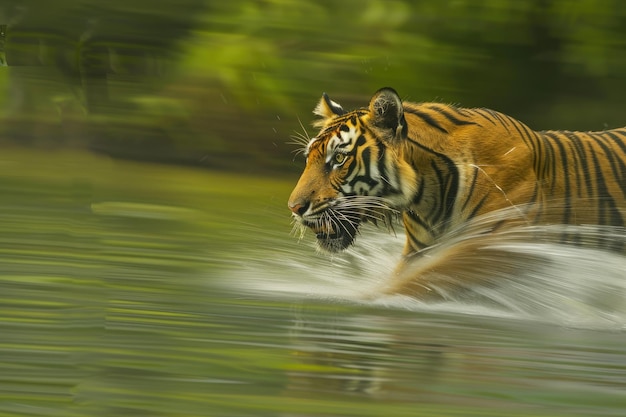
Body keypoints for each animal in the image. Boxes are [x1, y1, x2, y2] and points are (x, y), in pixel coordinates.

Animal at [288, 87, 624, 296]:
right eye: (309, 158)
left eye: (339, 159)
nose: (294, 207)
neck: (427, 193)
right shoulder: (421, 249)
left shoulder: (496, 245)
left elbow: (416, 285)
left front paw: (366, 297)